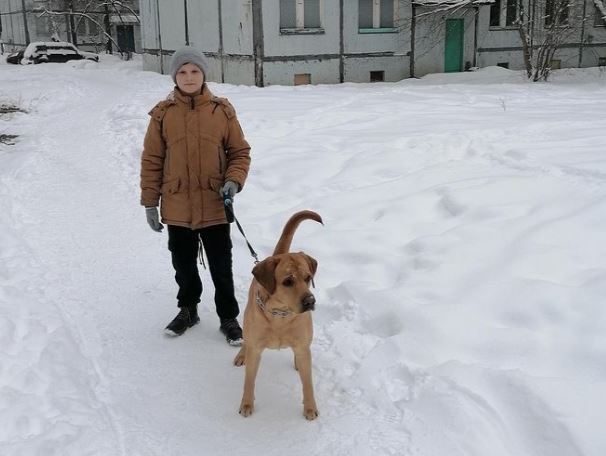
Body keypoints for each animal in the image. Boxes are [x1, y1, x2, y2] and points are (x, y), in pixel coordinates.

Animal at [235, 210, 326, 420]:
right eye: (287, 281)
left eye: (308, 278)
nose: (310, 301)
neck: (280, 316)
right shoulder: (256, 349)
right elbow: (249, 381)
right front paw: (246, 403)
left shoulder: (302, 346)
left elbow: (308, 384)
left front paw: (310, 407)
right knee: (246, 339)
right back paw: (242, 353)